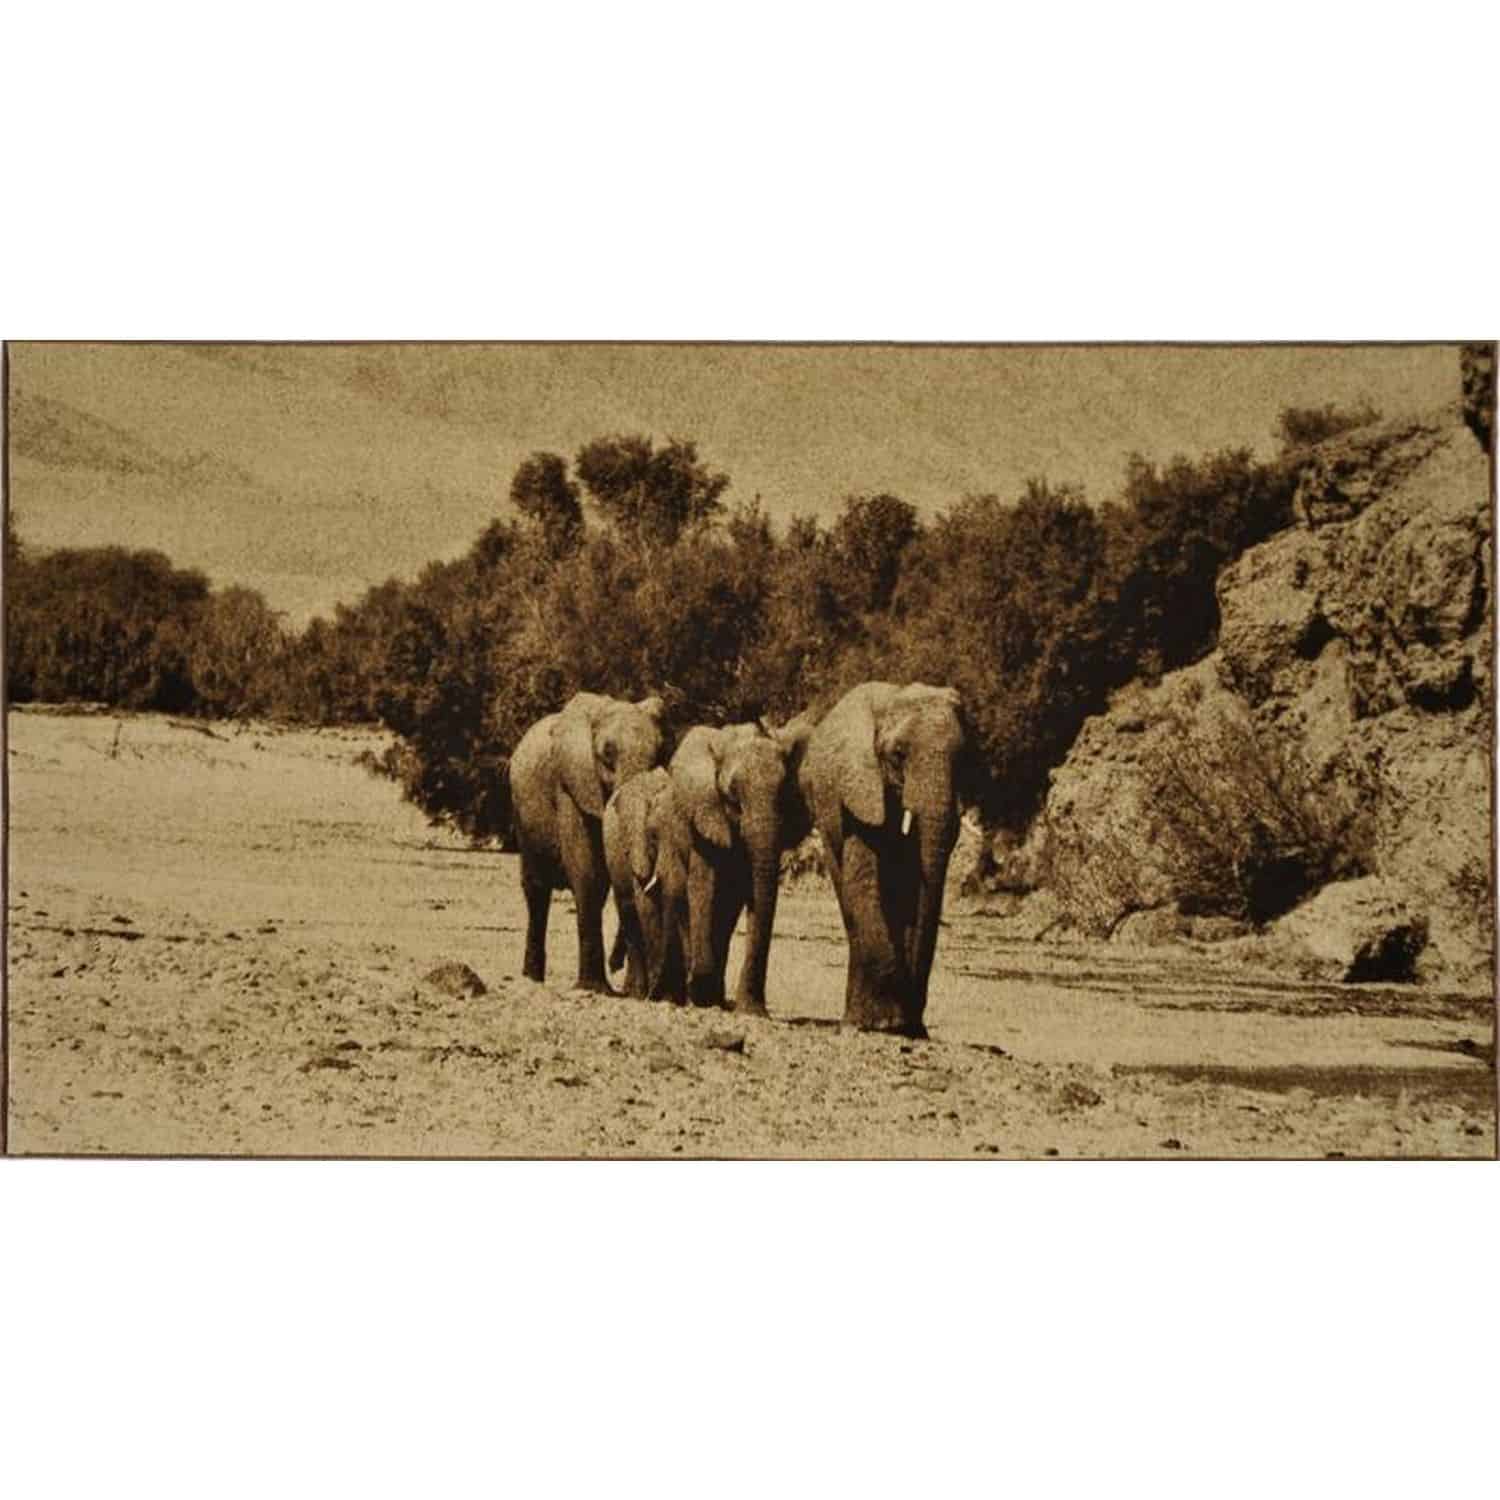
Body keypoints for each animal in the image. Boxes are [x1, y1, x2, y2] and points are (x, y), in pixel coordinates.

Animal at [509, 691, 666, 991]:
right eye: (607, 753)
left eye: (660, 753)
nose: (615, 965)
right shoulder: (571, 784)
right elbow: (588, 871)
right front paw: (594, 988)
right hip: (522, 811)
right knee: (536, 888)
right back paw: (531, 978)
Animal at [646, 717, 816, 1013]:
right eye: (732, 794)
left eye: (784, 792)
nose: (756, 1008)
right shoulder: (705, 817)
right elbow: (702, 885)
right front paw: (701, 994)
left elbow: (741, 895)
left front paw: (748, 1010)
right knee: (678, 894)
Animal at [798, 682, 969, 1038]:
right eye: (898, 755)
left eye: (963, 759)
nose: (913, 1024)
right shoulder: (859, 792)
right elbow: (864, 881)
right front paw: (885, 1023)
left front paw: (906, 1026)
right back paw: (854, 1022)